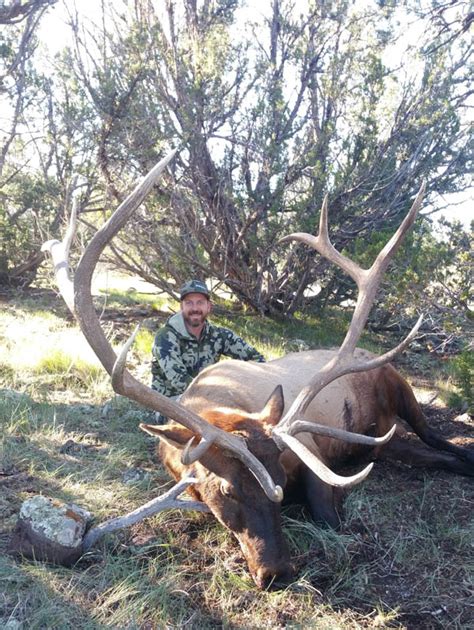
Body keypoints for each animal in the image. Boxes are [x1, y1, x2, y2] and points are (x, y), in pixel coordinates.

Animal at [42, 149, 472, 592]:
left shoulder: (309, 449)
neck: (212, 405)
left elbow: (327, 513)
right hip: (383, 439)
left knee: (439, 439)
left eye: (279, 476)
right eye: (226, 490)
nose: (276, 572)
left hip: (400, 389)